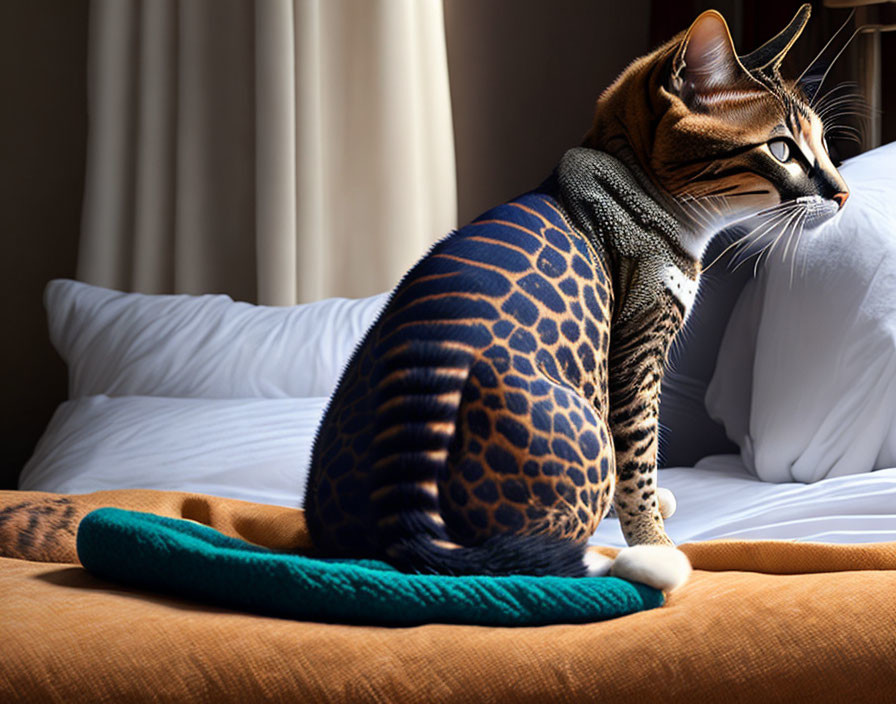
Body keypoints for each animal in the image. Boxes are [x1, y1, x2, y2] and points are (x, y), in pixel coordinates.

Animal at [300, 5, 848, 592]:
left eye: (825, 145)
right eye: (781, 150)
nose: (843, 194)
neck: (634, 184)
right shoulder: (638, 345)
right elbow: (639, 453)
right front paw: (653, 540)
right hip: (582, 428)